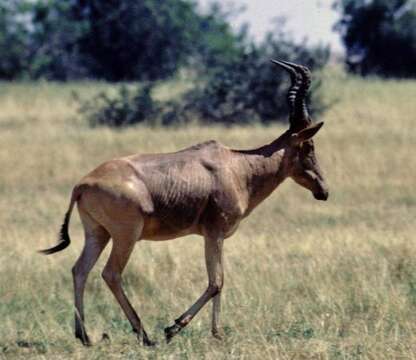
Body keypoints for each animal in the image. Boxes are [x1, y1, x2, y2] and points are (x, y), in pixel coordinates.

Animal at [40, 59, 330, 346]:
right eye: (309, 146)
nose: (323, 191)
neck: (237, 166)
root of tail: (82, 184)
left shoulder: (216, 236)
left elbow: (219, 281)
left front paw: (216, 332)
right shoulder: (214, 233)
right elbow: (216, 282)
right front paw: (174, 328)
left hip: (97, 233)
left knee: (80, 270)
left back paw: (85, 336)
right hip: (126, 235)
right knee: (110, 274)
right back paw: (144, 335)